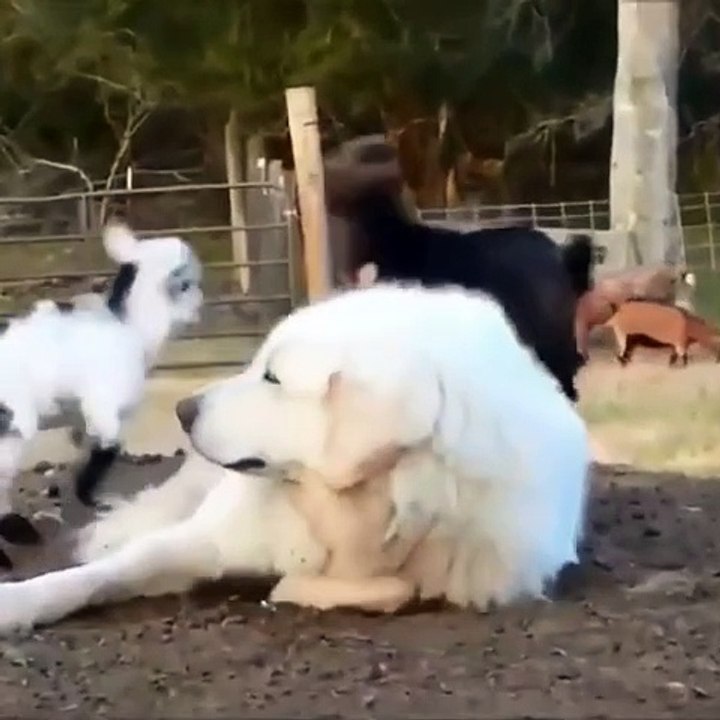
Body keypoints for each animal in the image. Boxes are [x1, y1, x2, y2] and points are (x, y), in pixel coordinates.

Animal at [0, 222, 203, 546]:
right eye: (187, 283)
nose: (200, 304)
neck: (133, 328)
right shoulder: (105, 401)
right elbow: (109, 443)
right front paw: (91, 497)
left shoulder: (79, 412)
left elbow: (88, 442)